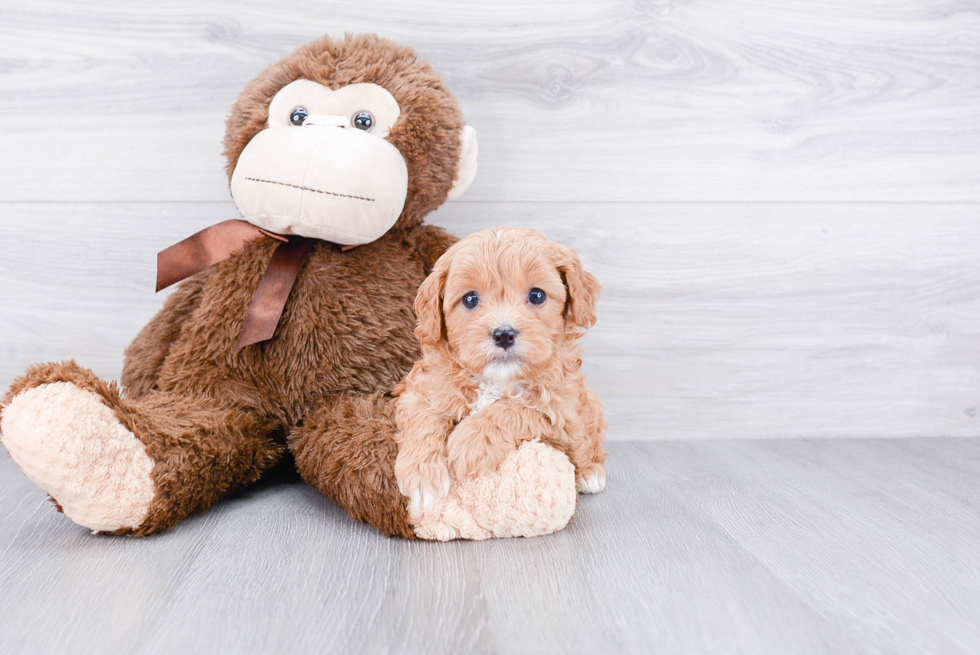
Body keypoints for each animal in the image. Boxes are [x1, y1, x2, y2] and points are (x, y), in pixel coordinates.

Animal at [390, 227, 604, 512]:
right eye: (470, 299)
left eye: (537, 295)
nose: (503, 334)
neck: (494, 380)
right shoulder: (420, 388)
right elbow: (423, 416)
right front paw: (422, 476)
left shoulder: (560, 409)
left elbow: (514, 410)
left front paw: (468, 443)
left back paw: (591, 472)